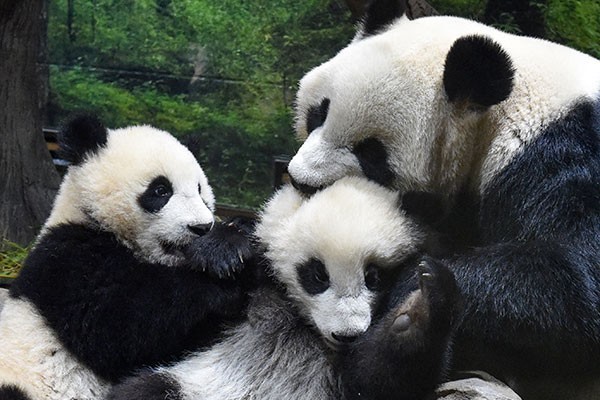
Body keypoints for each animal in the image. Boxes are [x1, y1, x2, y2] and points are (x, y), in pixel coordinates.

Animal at [0, 115, 255, 400]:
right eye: (160, 190)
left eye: (200, 191)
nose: (201, 227)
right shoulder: (67, 262)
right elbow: (119, 323)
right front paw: (223, 266)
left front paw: (233, 235)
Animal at [108, 177, 462, 400]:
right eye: (317, 275)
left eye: (373, 276)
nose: (347, 334)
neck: (304, 325)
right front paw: (223, 250)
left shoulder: (339, 377)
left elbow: (377, 378)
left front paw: (421, 307)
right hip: (193, 384)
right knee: (142, 390)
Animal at [286, 1, 600, 398]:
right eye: (319, 113)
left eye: (372, 155)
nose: (301, 180)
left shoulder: (565, 153)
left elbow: (574, 283)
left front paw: (412, 294)